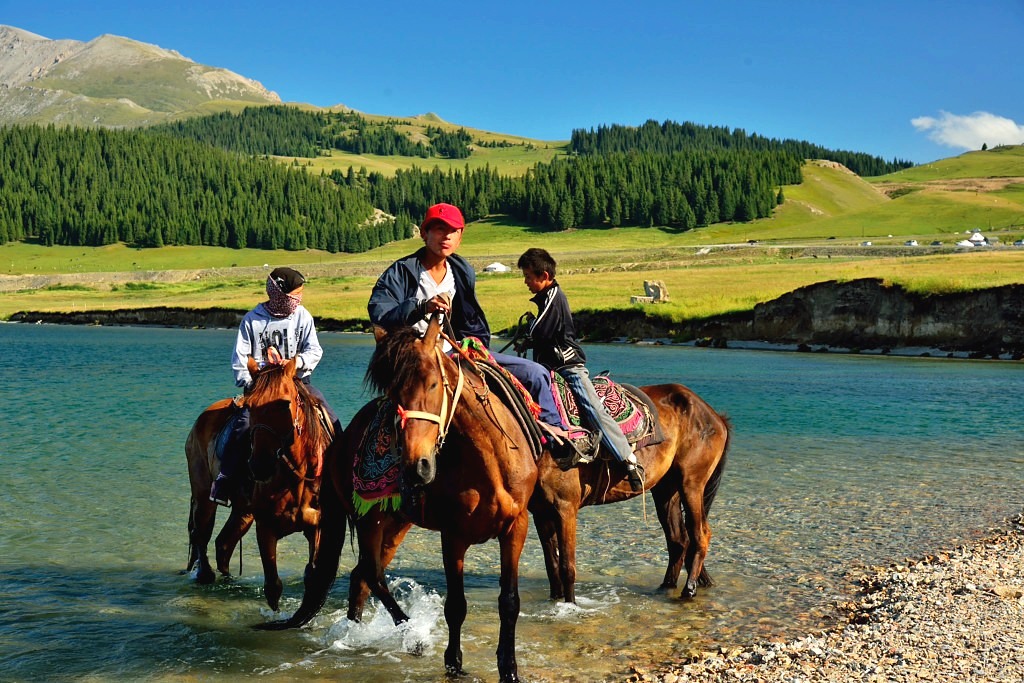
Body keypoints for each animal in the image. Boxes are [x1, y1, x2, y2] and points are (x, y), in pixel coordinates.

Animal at [182, 358, 329, 614]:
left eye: (284, 404)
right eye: (250, 406)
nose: (259, 465)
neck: (296, 476)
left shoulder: (317, 527)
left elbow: (311, 576)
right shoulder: (266, 527)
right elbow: (273, 587)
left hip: (243, 511)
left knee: (223, 543)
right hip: (203, 497)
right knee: (202, 534)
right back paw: (205, 576)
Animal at [260, 317, 540, 683]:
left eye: (434, 384)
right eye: (394, 395)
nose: (415, 467)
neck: (490, 461)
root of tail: (341, 439)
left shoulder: (515, 528)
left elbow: (509, 601)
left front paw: (509, 669)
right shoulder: (453, 536)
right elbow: (456, 605)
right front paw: (453, 663)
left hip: (396, 524)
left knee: (361, 577)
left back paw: (354, 631)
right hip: (369, 520)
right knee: (372, 574)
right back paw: (413, 634)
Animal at [528, 385, 729, 602]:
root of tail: (716, 417)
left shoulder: (565, 508)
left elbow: (567, 567)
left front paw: (570, 605)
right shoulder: (541, 513)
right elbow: (552, 565)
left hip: (691, 484)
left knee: (700, 534)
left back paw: (689, 589)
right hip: (667, 489)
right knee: (678, 540)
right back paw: (666, 587)